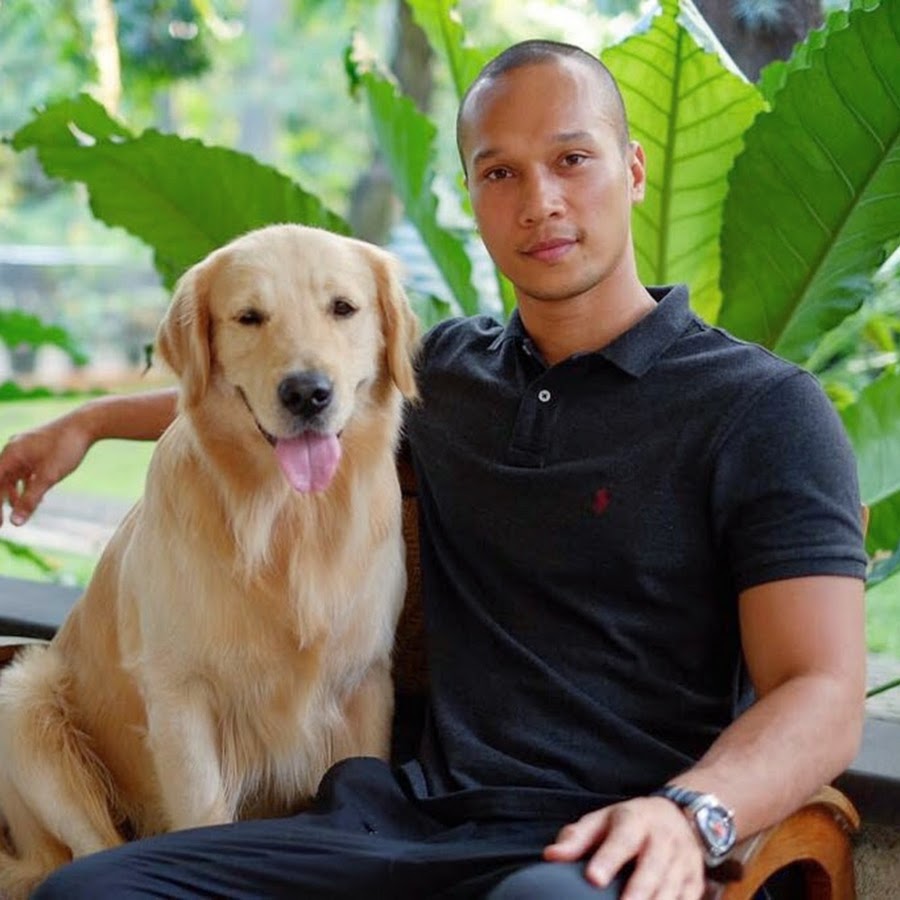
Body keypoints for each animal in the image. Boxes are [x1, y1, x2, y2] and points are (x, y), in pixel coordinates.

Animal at [0, 224, 419, 897]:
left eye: (343, 308)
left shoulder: (365, 682)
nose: (307, 393)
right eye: (249, 317)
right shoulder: (180, 696)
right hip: (24, 703)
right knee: (85, 851)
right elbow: (203, 814)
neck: (287, 521)